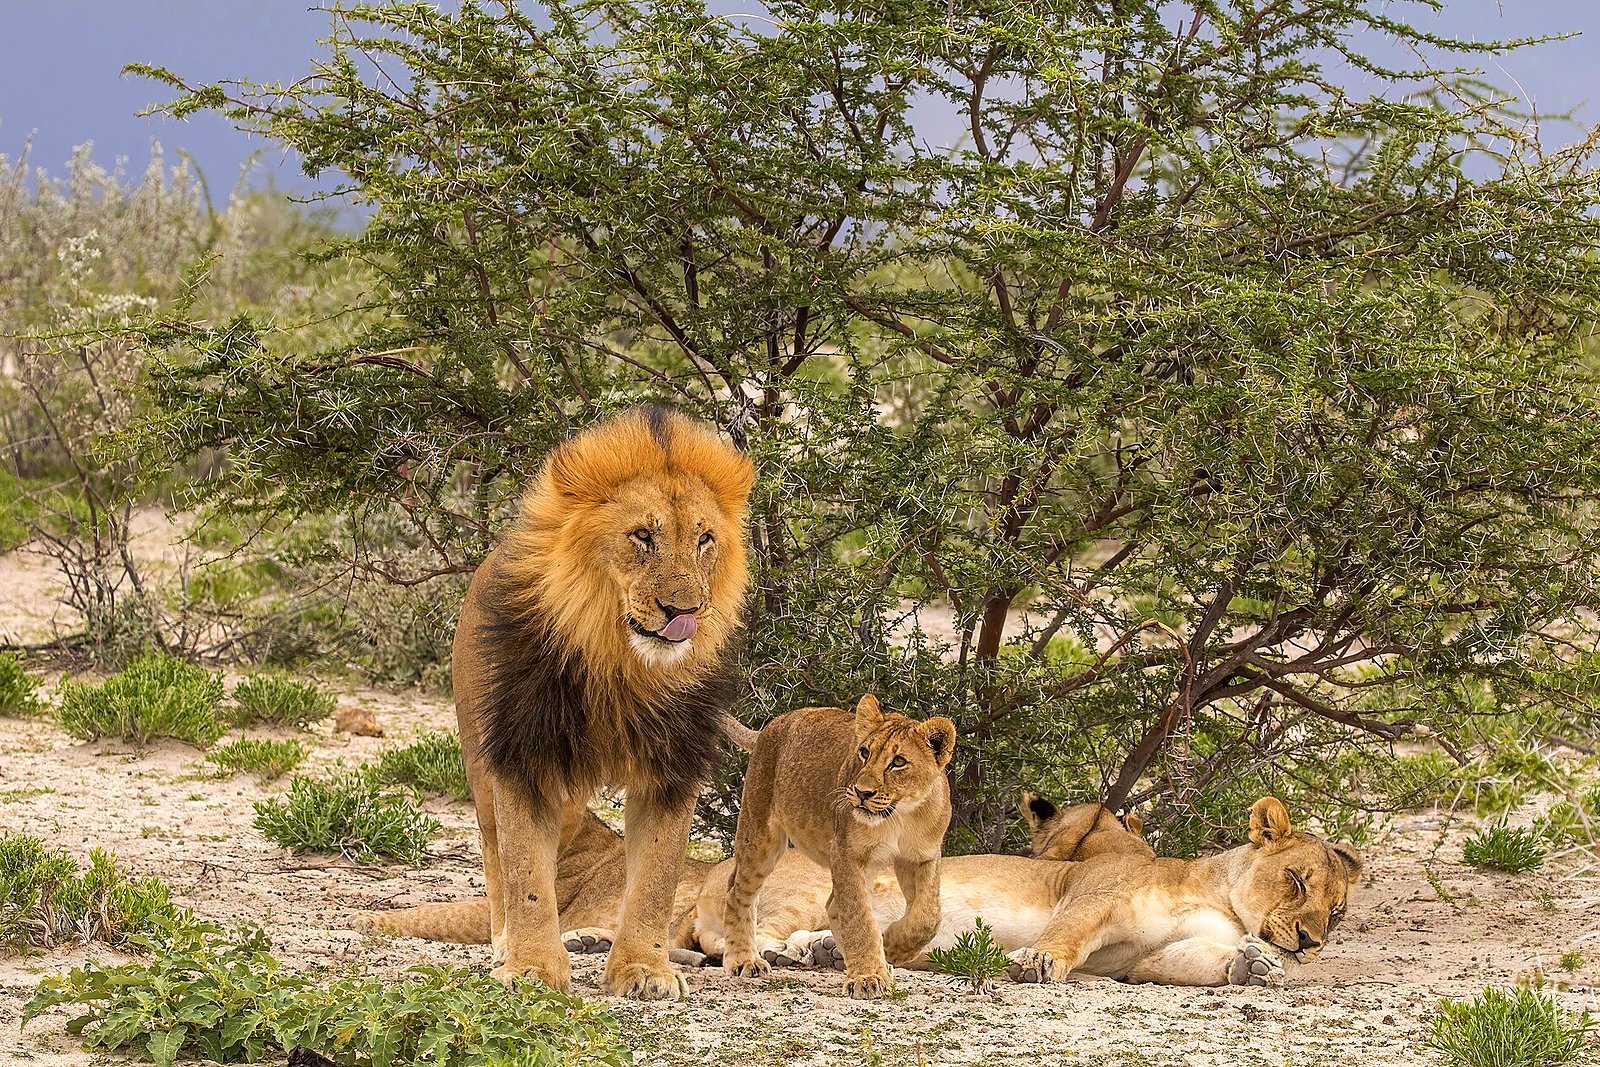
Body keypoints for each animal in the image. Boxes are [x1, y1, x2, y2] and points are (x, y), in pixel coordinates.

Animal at [373, 407, 753, 1001]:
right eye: (642, 536)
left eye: (705, 540)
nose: (684, 611)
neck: (620, 662)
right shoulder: (522, 756)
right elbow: (527, 870)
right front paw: (530, 968)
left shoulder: (671, 768)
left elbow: (656, 879)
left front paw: (645, 970)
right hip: (478, 759)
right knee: (496, 859)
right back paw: (505, 942)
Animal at [719, 694, 957, 998]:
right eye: (864, 752)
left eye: (899, 761)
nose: (862, 793)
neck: (901, 815)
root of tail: (773, 724)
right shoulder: (846, 852)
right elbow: (858, 917)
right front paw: (868, 974)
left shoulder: (922, 856)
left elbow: (927, 917)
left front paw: (891, 949)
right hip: (760, 836)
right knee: (737, 893)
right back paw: (744, 960)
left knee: (833, 905)